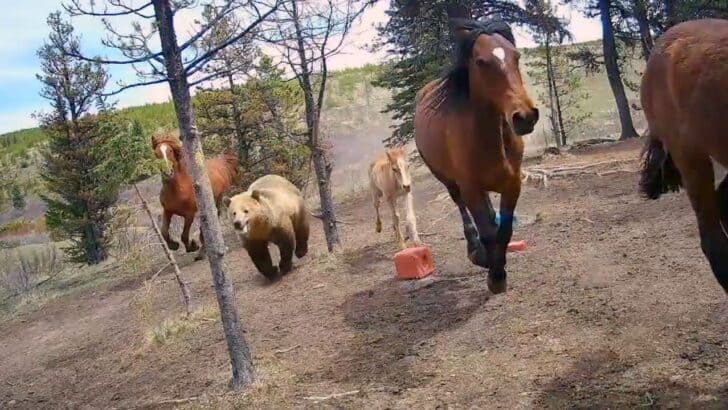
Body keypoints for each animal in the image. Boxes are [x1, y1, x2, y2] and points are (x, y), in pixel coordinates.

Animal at [152, 132, 238, 261]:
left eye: (170, 151)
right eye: (156, 153)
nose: (168, 173)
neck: (179, 188)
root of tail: (221, 163)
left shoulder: (189, 215)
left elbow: (183, 236)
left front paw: (193, 246)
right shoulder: (168, 211)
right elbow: (164, 232)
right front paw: (174, 245)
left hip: (217, 198)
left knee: (213, 219)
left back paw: (203, 250)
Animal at [414, 13, 539, 294]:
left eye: (516, 56)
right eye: (481, 62)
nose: (525, 117)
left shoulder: (512, 184)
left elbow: (503, 230)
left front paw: (499, 269)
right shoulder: (470, 187)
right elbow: (488, 231)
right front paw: (495, 275)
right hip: (449, 181)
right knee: (463, 208)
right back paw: (476, 252)